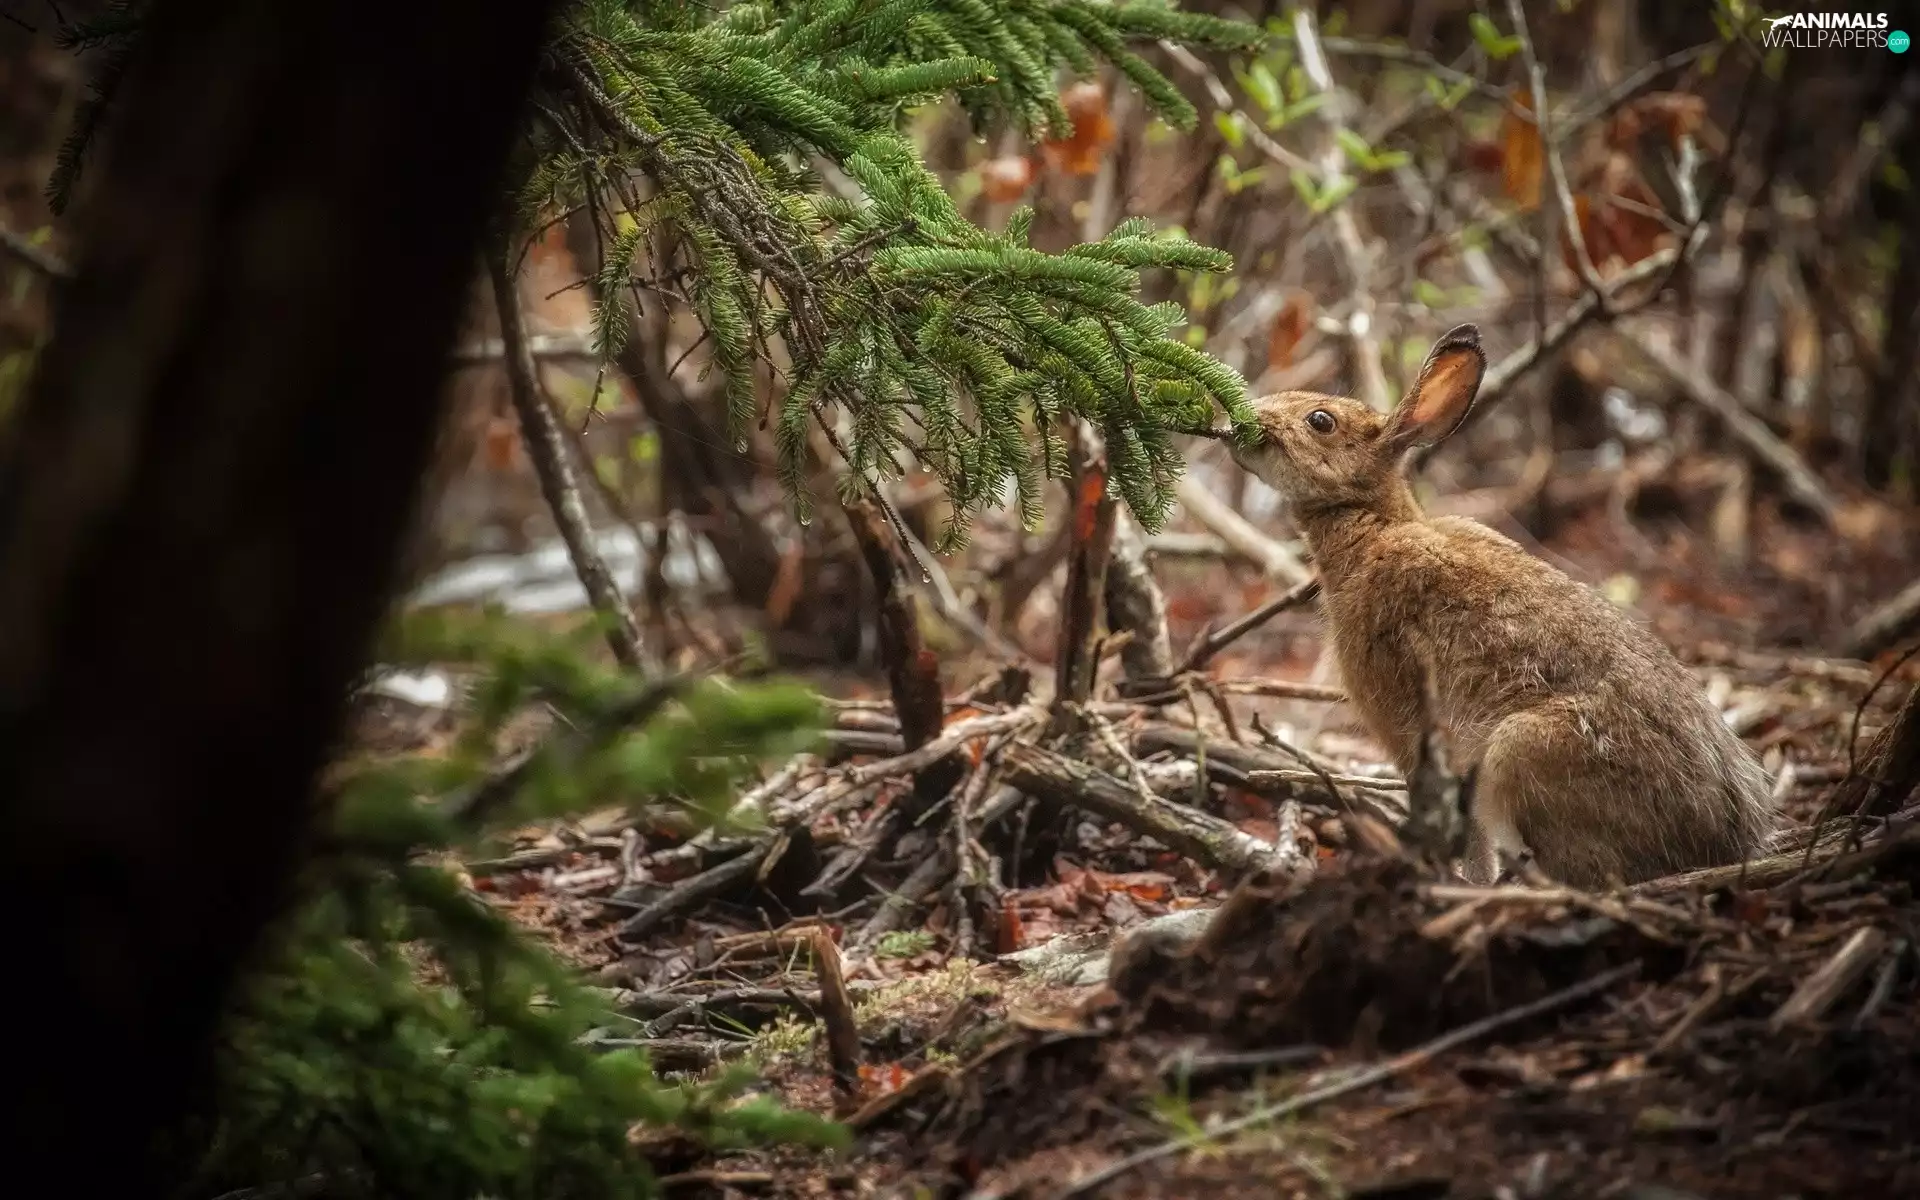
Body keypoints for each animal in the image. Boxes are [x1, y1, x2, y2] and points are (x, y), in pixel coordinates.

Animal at [1227, 324, 1776, 888]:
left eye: (1321, 421)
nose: (1245, 418)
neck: (1374, 524)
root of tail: (1720, 840)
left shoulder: (1409, 723)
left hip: (1521, 751)